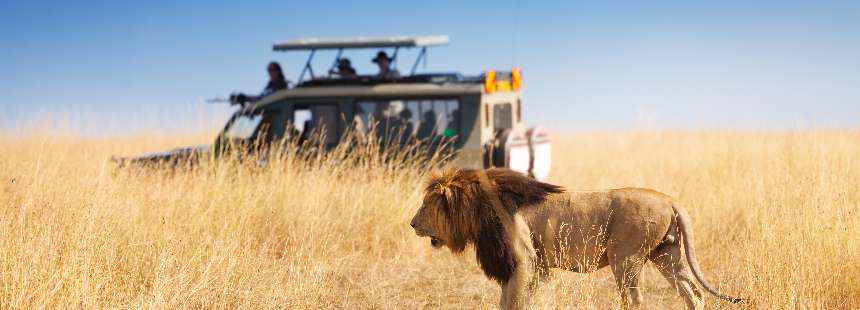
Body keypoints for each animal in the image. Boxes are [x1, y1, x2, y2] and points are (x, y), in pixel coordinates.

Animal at [408, 168, 740, 308]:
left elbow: (513, 300)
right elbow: (514, 298)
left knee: (634, 298)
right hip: (667, 254)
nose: (412, 224)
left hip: (626, 258)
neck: (478, 208)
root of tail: (670, 199)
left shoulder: (523, 260)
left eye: (425, 205)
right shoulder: (530, 265)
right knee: (692, 293)